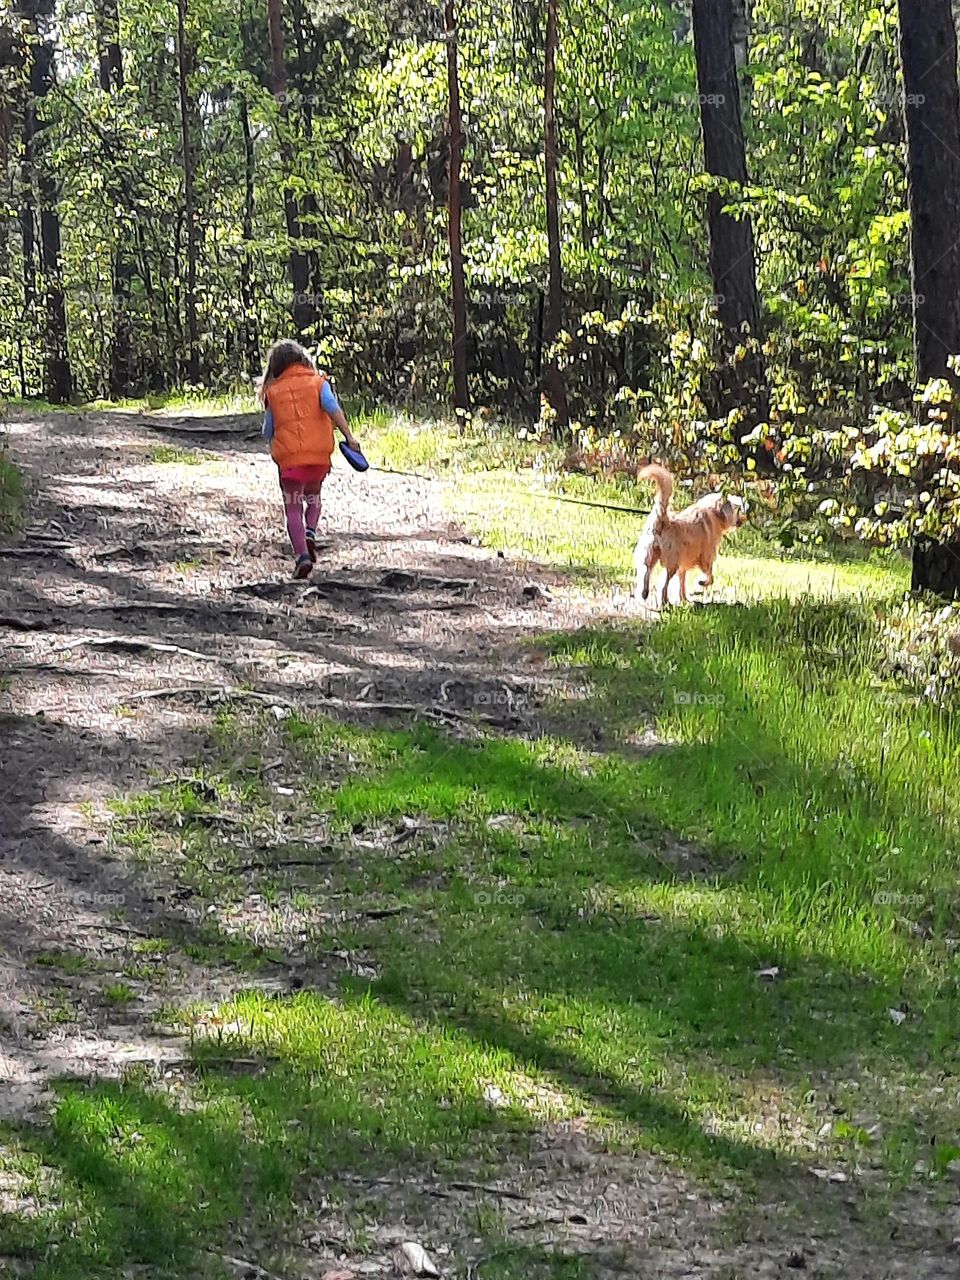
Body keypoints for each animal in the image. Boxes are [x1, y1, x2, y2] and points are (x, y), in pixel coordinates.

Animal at [640, 463, 752, 606]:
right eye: (737, 509)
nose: (743, 520)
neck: (716, 512)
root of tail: (663, 520)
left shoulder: (683, 565)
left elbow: (682, 582)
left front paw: (684, 599)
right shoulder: (706, 558)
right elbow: (710, 576)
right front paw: (701, 583)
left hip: (649, 555)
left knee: (646, 572)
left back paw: (644, 593)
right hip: (671, 563)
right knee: (664, 584)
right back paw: (665, 601)